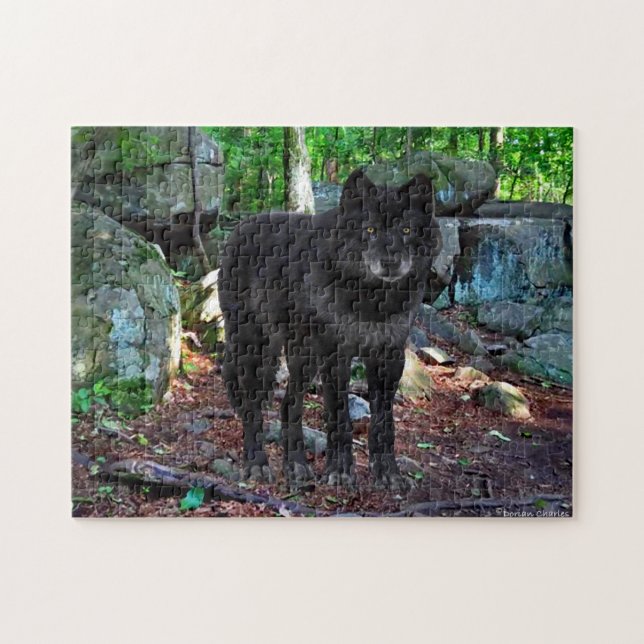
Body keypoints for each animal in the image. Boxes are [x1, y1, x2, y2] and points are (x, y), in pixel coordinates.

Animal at [218, 169, 441, 490]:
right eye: (370, 230)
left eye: (407, 230)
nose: (390, 262)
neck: (372, 300)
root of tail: (240, 226)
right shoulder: (336, 356)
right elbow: (340, 418)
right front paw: (341, 471)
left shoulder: (388, 357)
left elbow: (384, 422)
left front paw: (388, 473)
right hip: (255, 348)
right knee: (251, 405)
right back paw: (257, 464)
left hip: (302, 358)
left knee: (289, 405)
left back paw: (296, 466)